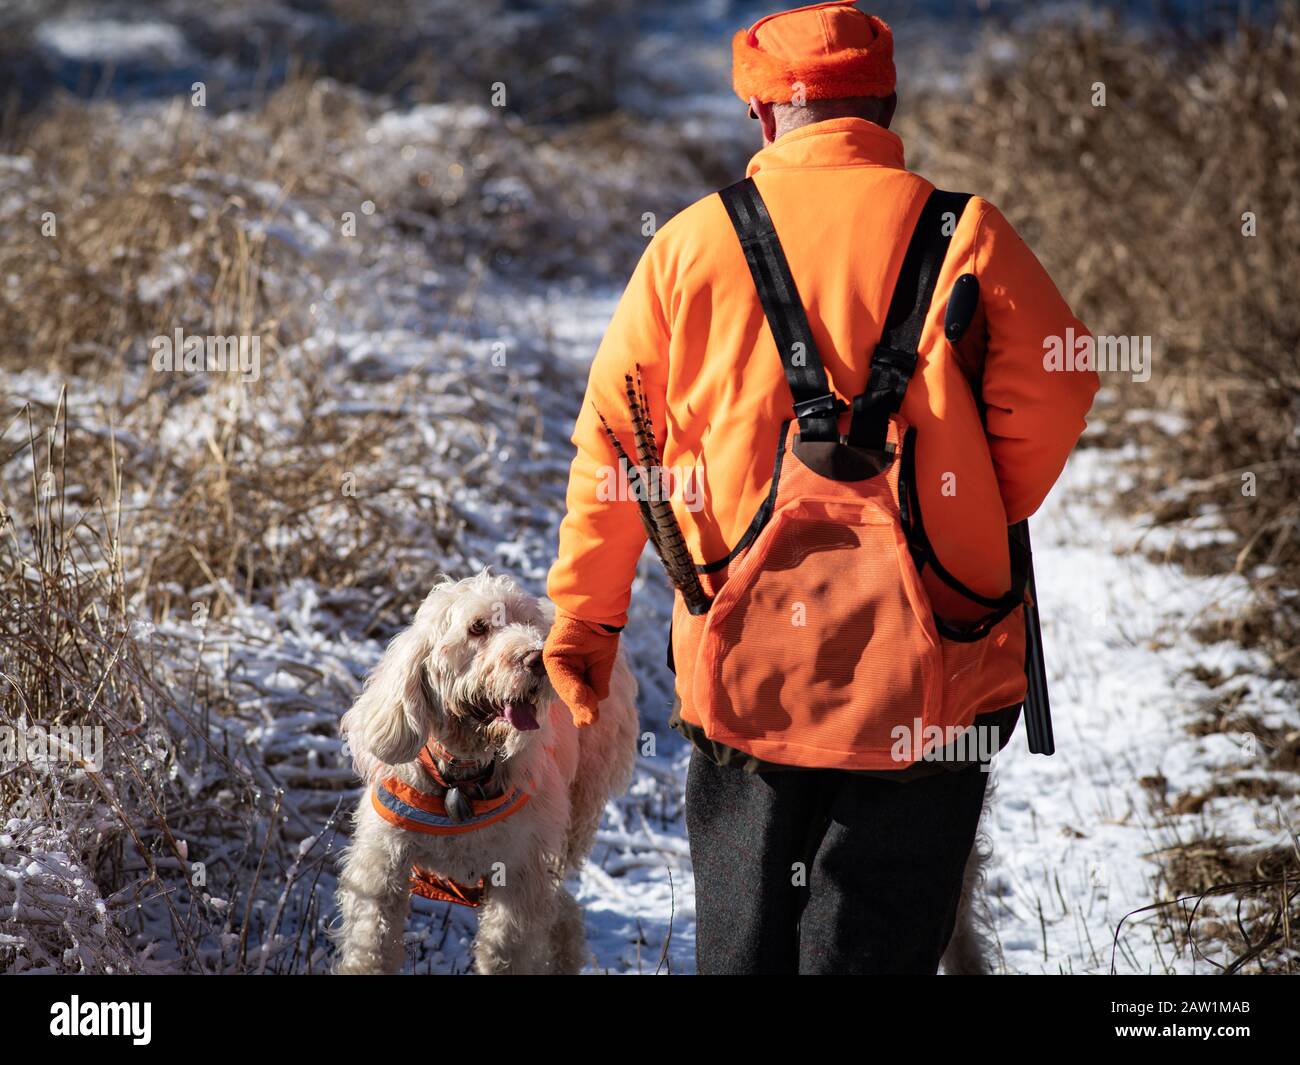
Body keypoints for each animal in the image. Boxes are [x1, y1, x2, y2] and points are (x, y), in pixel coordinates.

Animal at [335, 574, 639, 972]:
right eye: (477, 627)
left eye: (529, 625)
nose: (537, 659)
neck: (461, 773)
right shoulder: (381, 863)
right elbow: (372, 943)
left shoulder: (520, 869)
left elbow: (505, 950)